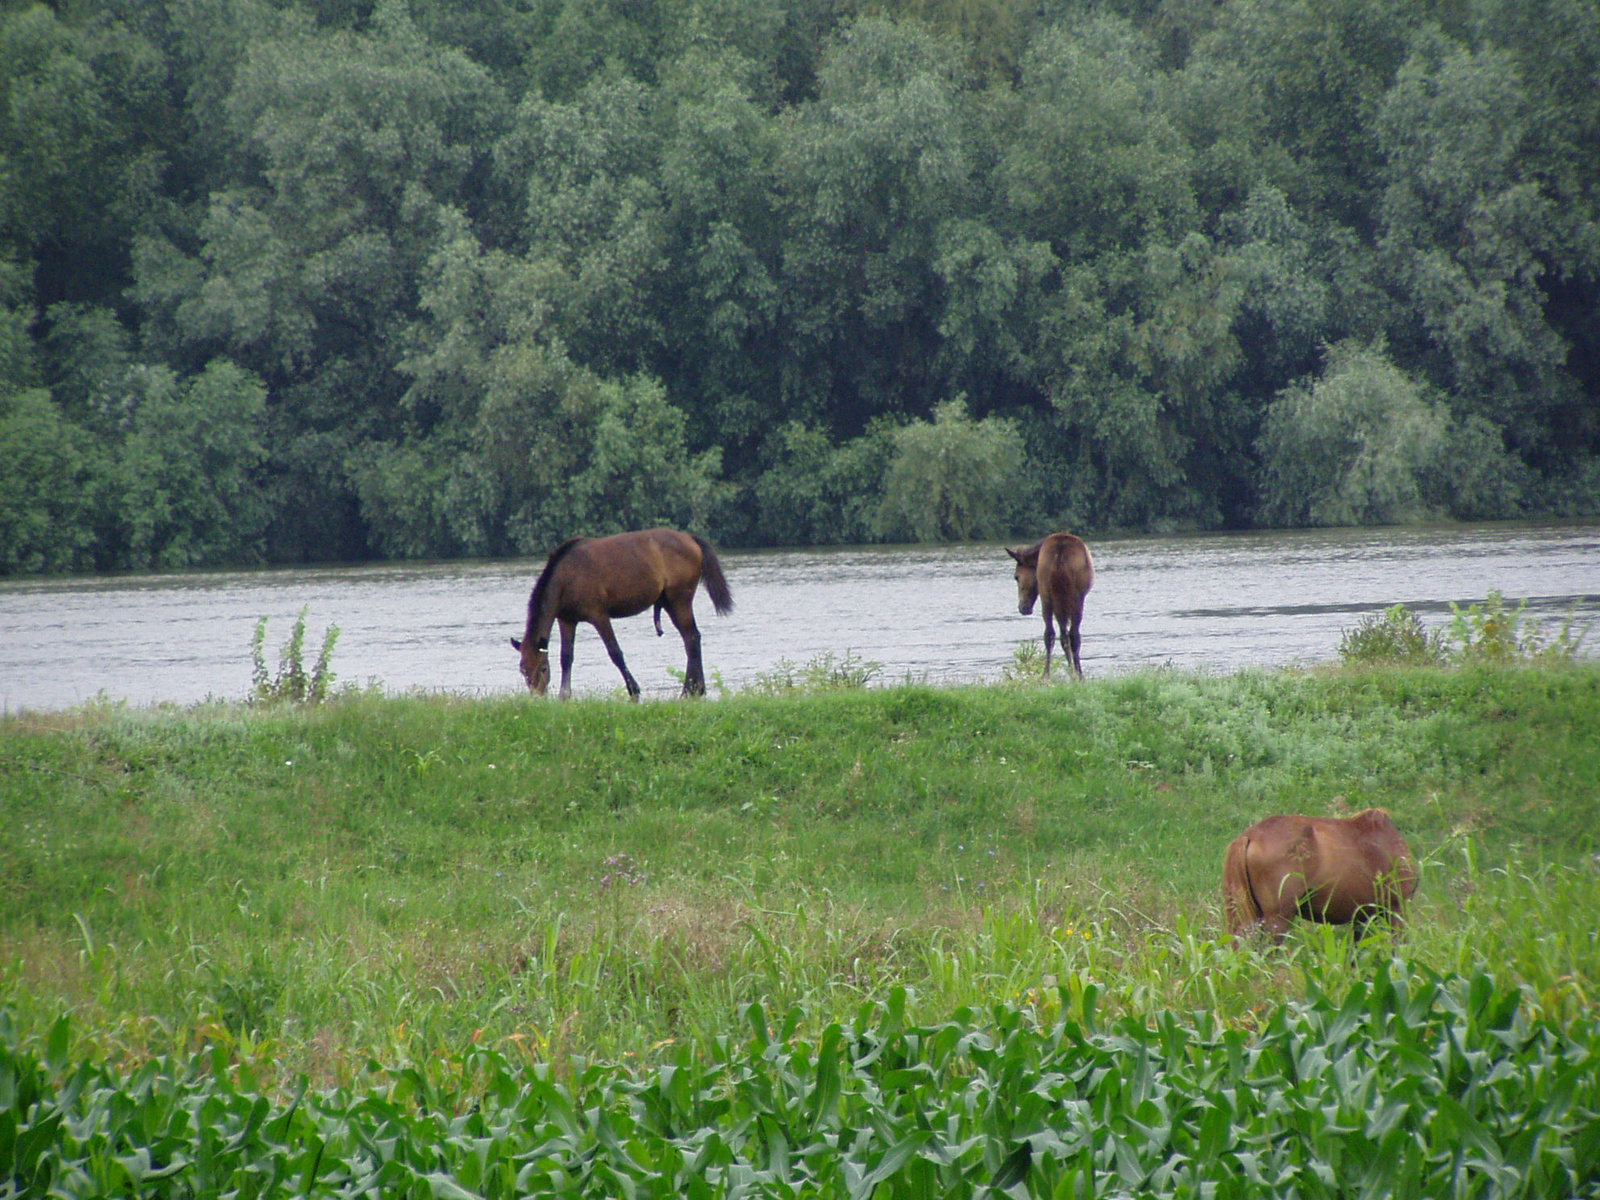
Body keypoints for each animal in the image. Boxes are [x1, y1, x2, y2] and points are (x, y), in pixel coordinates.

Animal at [508, 528, 732, 704]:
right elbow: (566, 657)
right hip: (671, 603)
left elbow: (615, 653)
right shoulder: (567, 620)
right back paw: (695, 689)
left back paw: (691, 690)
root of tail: (690, 538)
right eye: (523, 670)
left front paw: (634, 691)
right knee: (690, 639)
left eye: (543, 668)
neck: (567, 576)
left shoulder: (599, 616)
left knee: (692, 639)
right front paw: (565, 695)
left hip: (679, 601)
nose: (538, 697)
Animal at [1004, 534, 1094, 678]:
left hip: (1050, 597)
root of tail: (1060, 554)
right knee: (1067, 635)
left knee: (1055, 635)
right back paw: (1073, 675)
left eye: (1016, 577)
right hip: (1071, 599)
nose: (1022, 608)